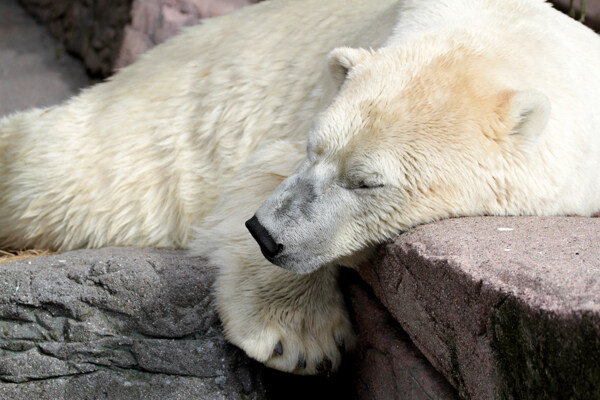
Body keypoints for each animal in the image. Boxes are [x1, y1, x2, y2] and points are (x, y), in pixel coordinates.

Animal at [1, 0, 600, 376]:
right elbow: (264, 166)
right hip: (148, 132)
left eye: (367, 181)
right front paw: (299, 341)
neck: (504, 35)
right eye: (315, 147)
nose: (266, 233)